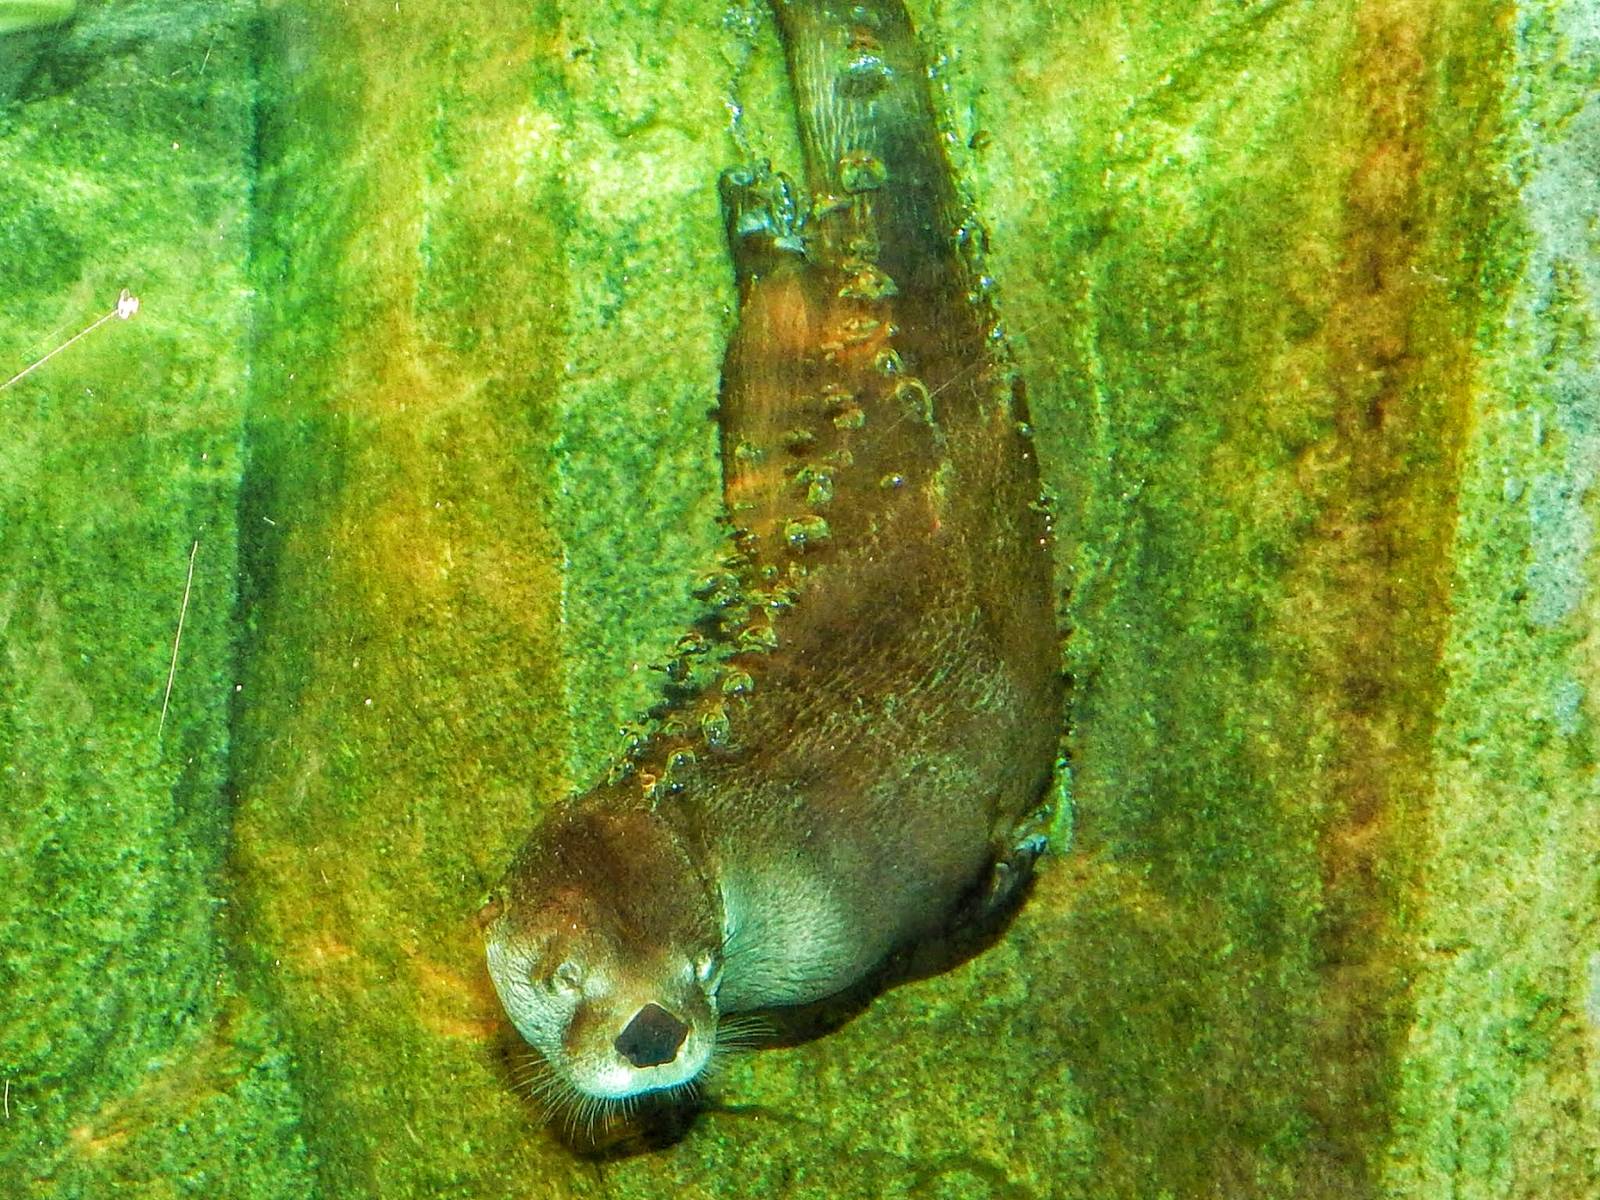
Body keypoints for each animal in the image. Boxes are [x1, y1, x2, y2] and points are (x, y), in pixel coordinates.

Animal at [483, 0, 1063, 1118]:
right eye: (561, 979)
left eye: (699, 963)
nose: (653, 1031)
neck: (773, 848)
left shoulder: (888, 892)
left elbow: (969, 893)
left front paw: (1022, 855)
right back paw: (763, 218)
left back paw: (764, 218)